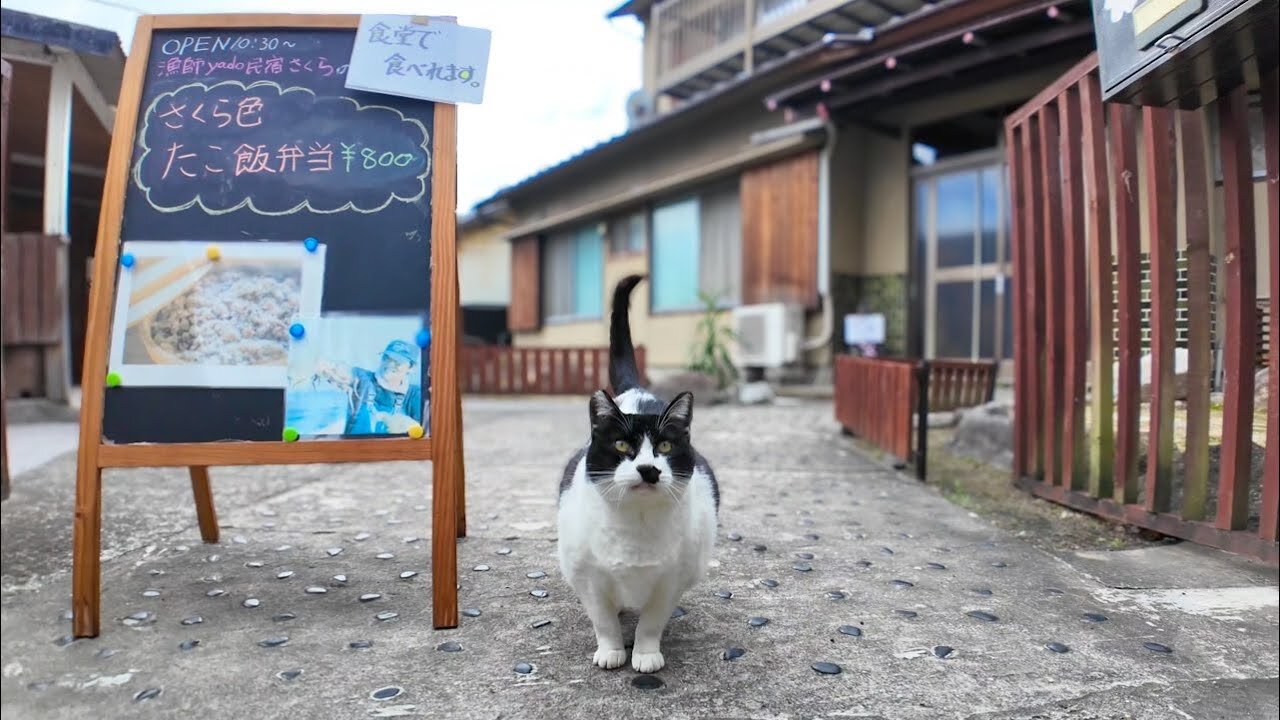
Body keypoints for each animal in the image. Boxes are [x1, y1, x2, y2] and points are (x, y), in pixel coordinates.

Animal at [555, 272, 721, 671]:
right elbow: (601, 618)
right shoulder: (587, 577)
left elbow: (651, 621)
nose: (648, 469)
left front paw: (645, 654)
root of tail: (638, 392)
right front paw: (611, 650)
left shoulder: (670, 581)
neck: (636, 527)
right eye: (621, 447)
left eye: (665, 448)